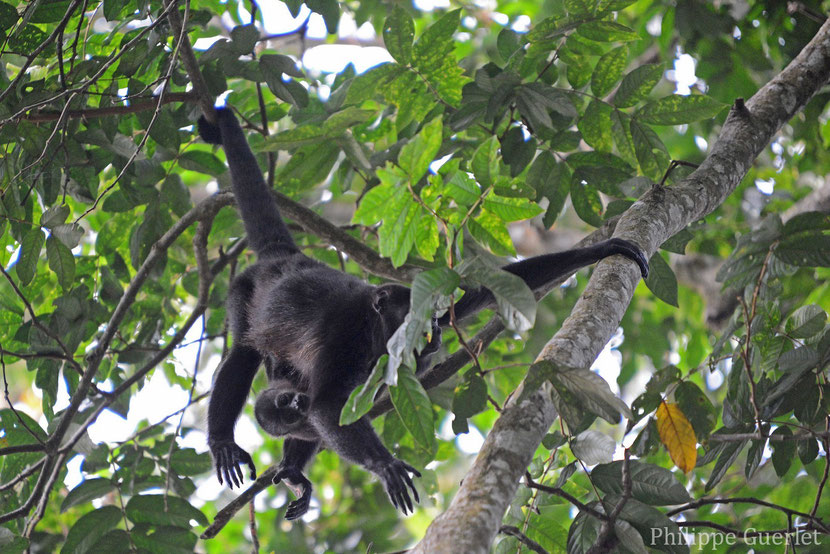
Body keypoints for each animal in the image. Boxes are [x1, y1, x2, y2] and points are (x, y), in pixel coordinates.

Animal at [200, 105, 648, 520]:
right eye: (411, 319)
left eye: (431, 315)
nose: (433, 328)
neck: (372, 329)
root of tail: (284, 258)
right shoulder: (342, 337)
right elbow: (326, 405)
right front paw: (385, 465)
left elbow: (484, 291)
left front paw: (602, 250)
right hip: (243, 289)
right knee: (245, 354)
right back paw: (223, 440)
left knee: (293, 390)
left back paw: (293, 469)